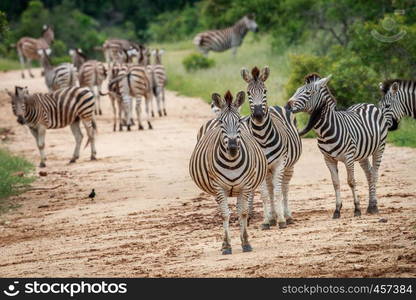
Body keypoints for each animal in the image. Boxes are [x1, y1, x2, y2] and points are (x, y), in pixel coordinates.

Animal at [188, 90, 266, 254]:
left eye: (238, 122)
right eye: (221, 123)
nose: (232, 148)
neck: (232, 162)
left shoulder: (246, 186)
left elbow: (243, 212)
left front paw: (246, 242)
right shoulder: (219, 188)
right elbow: (224, 214)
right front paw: (226, 245)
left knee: (239, 208)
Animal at [240, 66, 302, 230]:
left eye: (265, 91)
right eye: (248, 93)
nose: (258, 115)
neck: (262, 138)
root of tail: (276, 107)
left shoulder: (280, 164)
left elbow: (279, 191)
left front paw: (281, 220)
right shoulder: (259, 166)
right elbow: (265, 193)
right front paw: (267, 221)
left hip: (289, 165)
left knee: (284, 187)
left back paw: (287, 216)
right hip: (267, 169)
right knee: (270, 188)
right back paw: (273, 217)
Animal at [288, 72, 388, 218]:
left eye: (308, 92)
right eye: (296, 90)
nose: (287, 105)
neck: (325, 132)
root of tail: (367, 104)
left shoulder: (348, 157)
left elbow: (351, 181)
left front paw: (357, 209)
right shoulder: (328, 159)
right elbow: (335, 183)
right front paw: (337, 210)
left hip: (379, 148)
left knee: (374, 174)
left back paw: (374, 206)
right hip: (362, 154)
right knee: (369, 174)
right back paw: (370, 205)